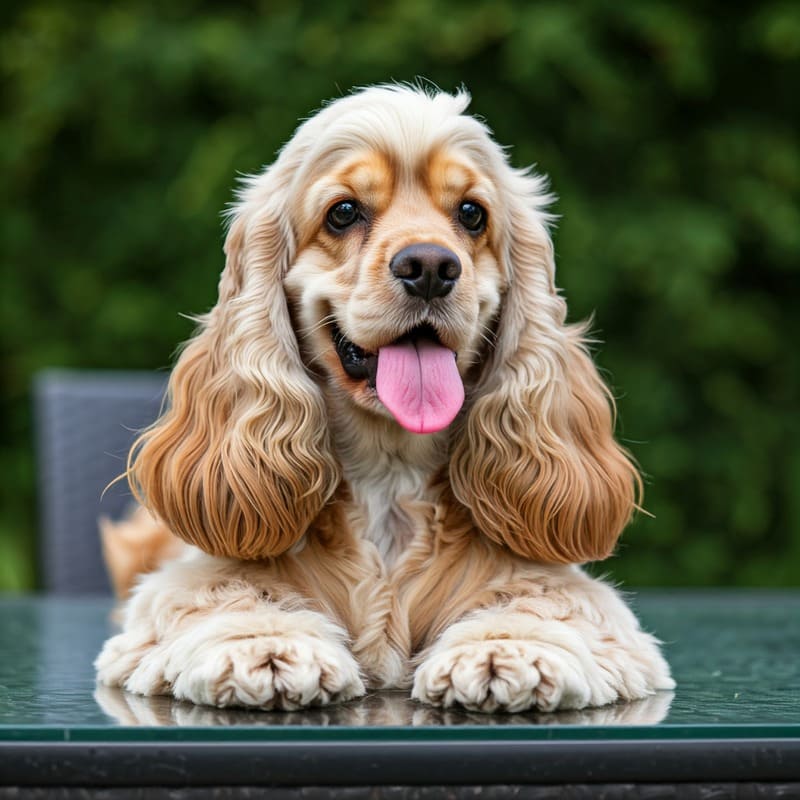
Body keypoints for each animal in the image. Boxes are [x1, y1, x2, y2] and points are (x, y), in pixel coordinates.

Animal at [98, 86, 676, 712]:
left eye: (471, 213)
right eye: (343, 212)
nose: (431, 267)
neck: (389, 474)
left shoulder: (581, 600)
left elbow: (549, 602)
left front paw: (506, 651)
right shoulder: (180, 587)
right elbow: (224, 595)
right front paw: (265, 647)